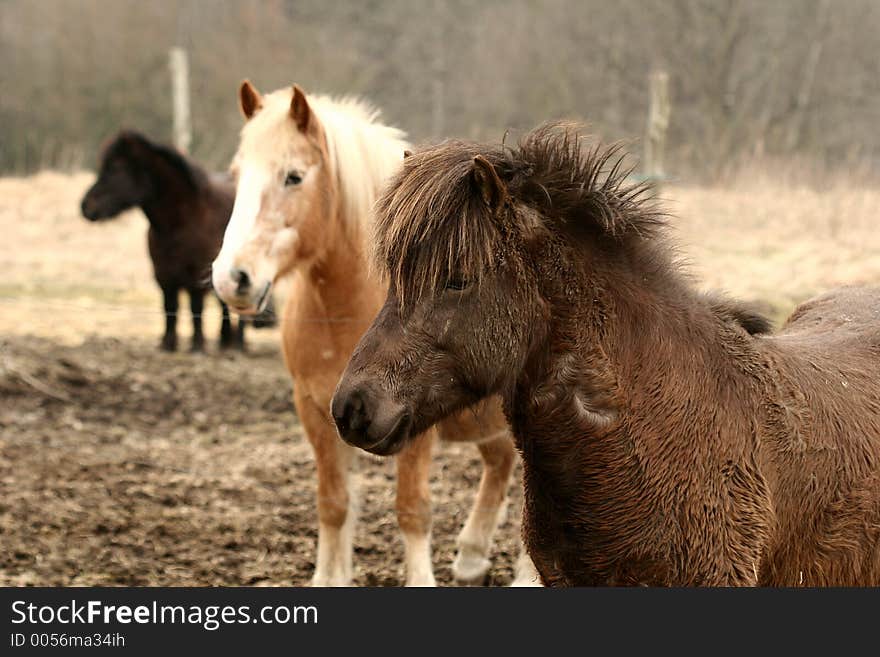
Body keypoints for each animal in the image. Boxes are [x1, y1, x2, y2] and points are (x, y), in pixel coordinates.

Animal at [81, 130, 272, 352]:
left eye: (116, 168)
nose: (86, 206)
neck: (181, 221)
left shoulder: (196, 274)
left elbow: (195, 308)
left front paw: (197, 346)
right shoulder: (163, 273)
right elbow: (169, 307)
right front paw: (168, 344)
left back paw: (237, 344)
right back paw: (225, 341)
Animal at [213, 80, 540, 584]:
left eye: (293, 177)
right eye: (236, 174)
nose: (233, 278)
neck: (344, 312)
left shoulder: (414, 424)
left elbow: (412, 511)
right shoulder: (315, 412)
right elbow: (333, 504)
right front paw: (329, 576)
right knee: (501, 461)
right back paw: (470, 556)